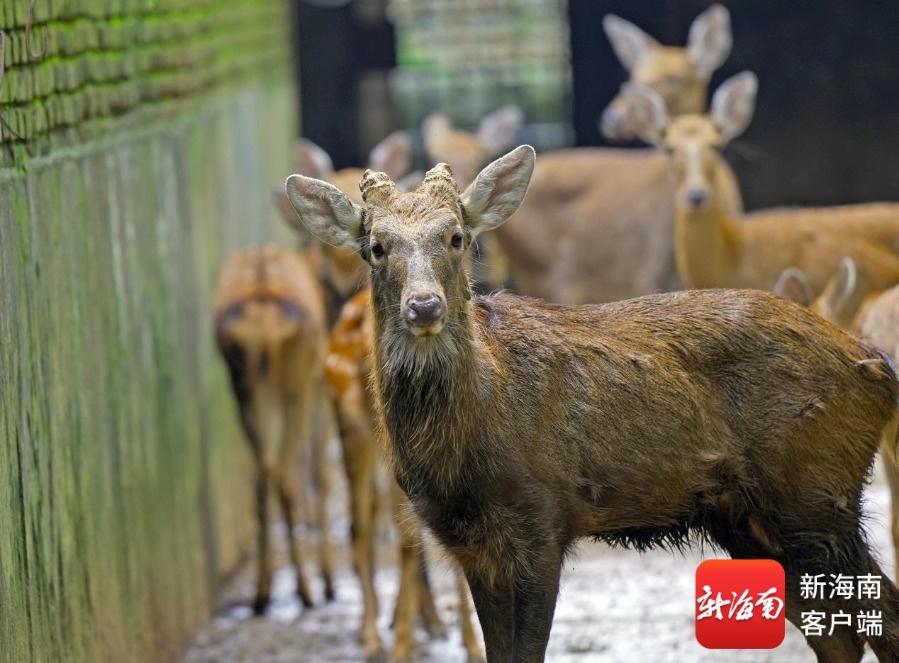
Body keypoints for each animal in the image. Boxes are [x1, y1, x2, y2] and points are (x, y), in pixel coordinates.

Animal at [285, 146, 899, 662]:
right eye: (376, 246)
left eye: (456, 236)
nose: (424, 306)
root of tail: (872, 363)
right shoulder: (470, 545)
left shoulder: (542, 518)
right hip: (750, 516)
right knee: (839, 634)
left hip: (815, 491)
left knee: (878, 620)